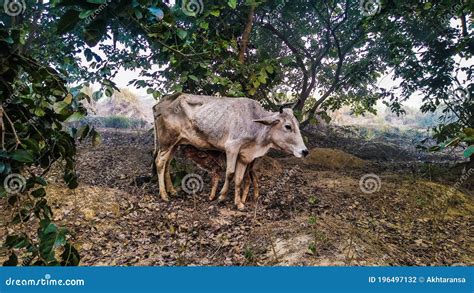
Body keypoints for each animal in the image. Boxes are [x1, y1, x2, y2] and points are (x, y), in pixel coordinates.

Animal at [152, 93, 308, 210]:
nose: (305, 151)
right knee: (160, 162)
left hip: (175, 143)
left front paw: (239, 203)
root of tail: (159, 104)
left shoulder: (244, 156)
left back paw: (172, 191)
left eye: (297, 124)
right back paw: (164, 195)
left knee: (167, 163)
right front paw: (221, 197)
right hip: (166, 141)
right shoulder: (232, 147)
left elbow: (239, 179)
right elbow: (230, 173)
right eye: (287, 126)